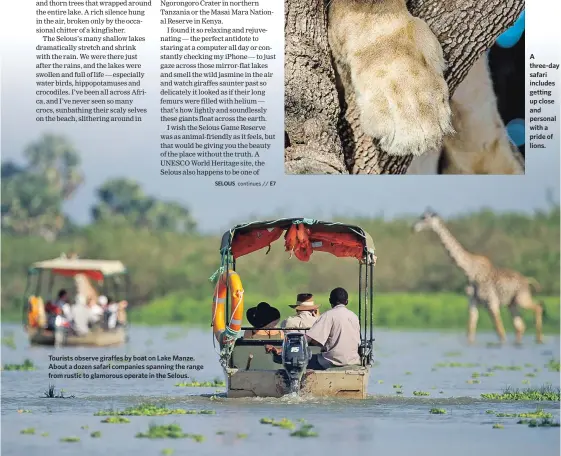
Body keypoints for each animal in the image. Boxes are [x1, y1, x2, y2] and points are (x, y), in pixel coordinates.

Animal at [412, 212, 544, 344]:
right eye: (421, 216)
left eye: (425, 219)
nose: (414, 227)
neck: (470, 271)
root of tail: (527, 280)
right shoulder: (472, 302)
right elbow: (470, 330)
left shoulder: (492, 303)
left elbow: (500, 332)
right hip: (512, 304)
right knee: (520, 326)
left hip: (522, 299)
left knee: (537, 308)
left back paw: (539, 340)